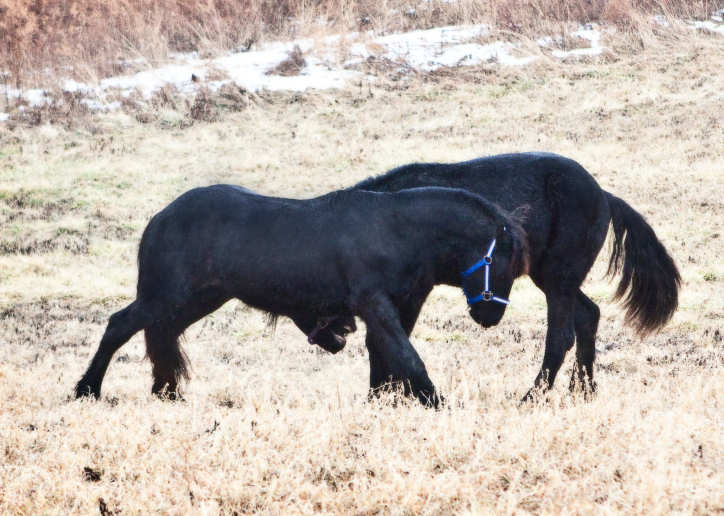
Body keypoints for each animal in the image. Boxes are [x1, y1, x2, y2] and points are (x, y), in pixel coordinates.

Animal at [75, 185, 528, 406]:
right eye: (504, 263)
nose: (490, 316)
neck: (398, 233)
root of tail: (161, 218)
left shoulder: (400, 307)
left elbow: (387, 353)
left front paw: (384, 399)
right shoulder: (375, 304)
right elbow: (405, 354)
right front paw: (433, 400)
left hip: (197, 300)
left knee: (161, 335)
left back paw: (166, 392)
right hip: (168, 296)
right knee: (119, 327)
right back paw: (87, 390)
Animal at [307, 152, 680, 400]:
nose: (329, 340)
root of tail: (603, 195)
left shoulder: (410, 292)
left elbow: (385, 342)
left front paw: (383, 397)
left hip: (558, 279)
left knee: (560, 336)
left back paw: (532, 397)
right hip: (553, 277)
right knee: (589, 315)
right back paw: (583, 391)